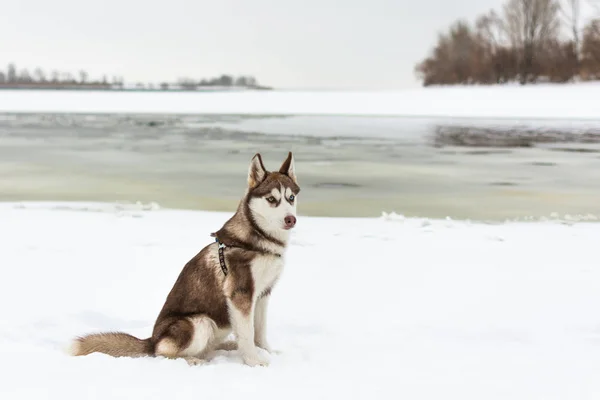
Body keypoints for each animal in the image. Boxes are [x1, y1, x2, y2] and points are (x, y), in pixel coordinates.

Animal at [69, 152, 300, 368]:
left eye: (291, 198)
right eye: (271, 200)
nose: (291, 219)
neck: (259, 240)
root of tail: (151, 340)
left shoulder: (262, 294)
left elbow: (258, 331)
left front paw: (266, 351)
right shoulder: (241, 294)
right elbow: (247, 333)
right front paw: (253, 361)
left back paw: (227, 346)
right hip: (200, 322)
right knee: (164, 353)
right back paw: (193, 360)